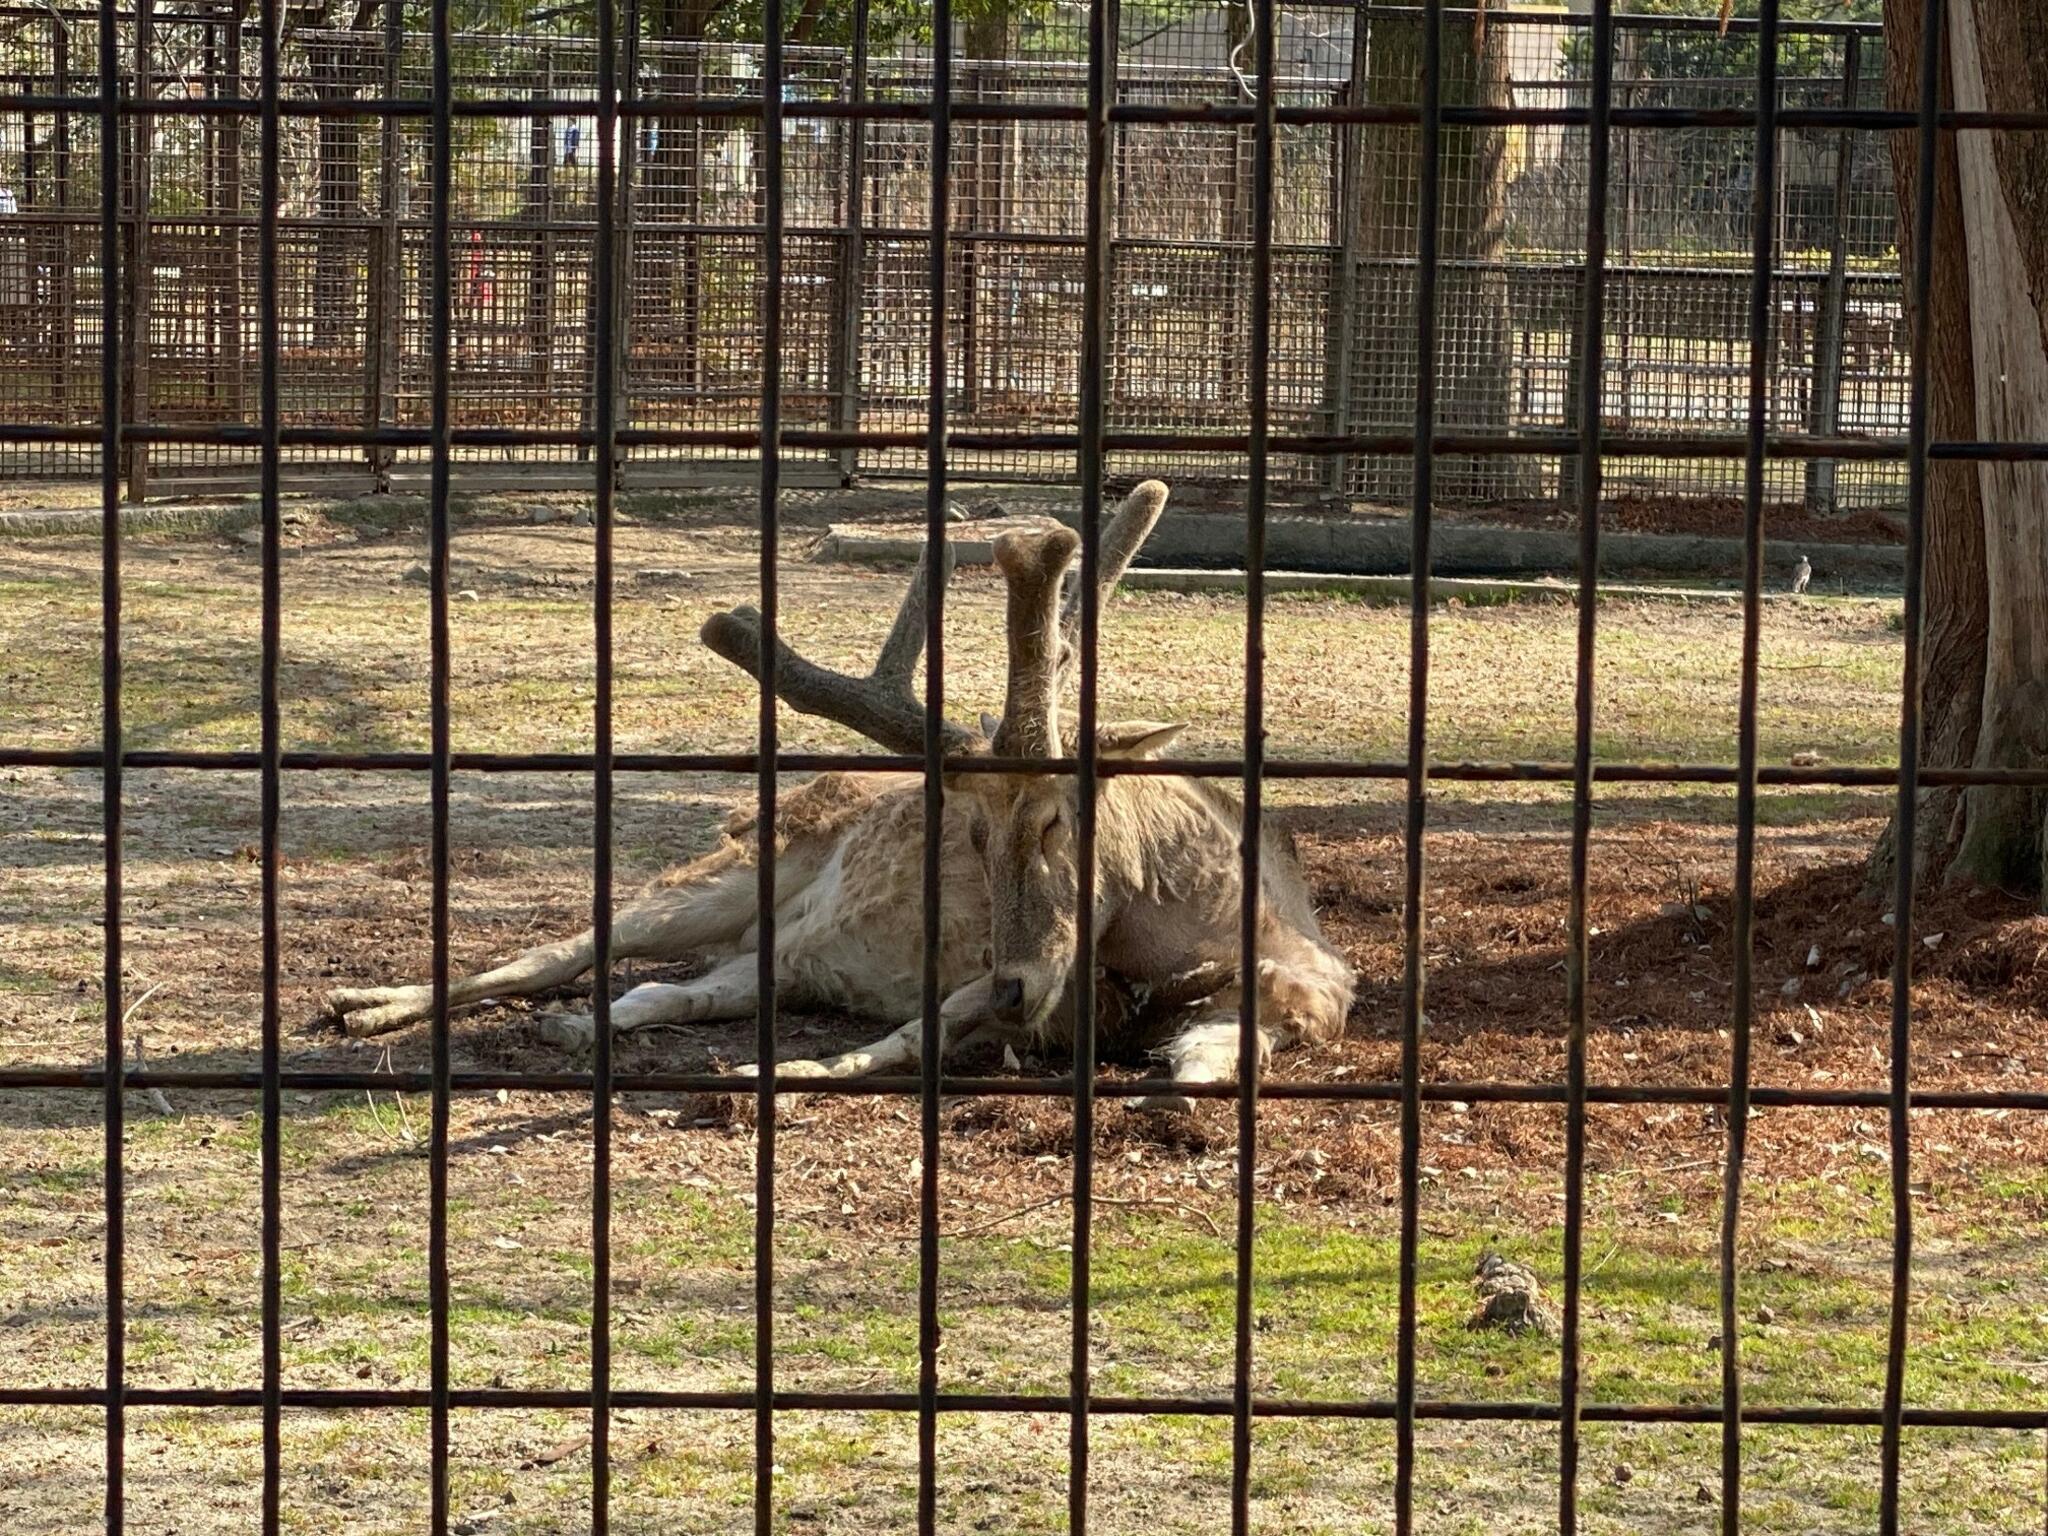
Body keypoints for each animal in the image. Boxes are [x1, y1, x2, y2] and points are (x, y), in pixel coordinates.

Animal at [327, 483, 1359, 1105]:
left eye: (1062, 817)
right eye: (970, 834)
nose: (1015, 983)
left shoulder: (1300, 983)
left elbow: (1211, 1053)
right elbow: (915, 1034)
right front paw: (796, 1068)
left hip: (769, 952)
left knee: (671, 988)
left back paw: (573, 1026)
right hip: (733, 869)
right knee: (568, 947)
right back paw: (366, 1004)